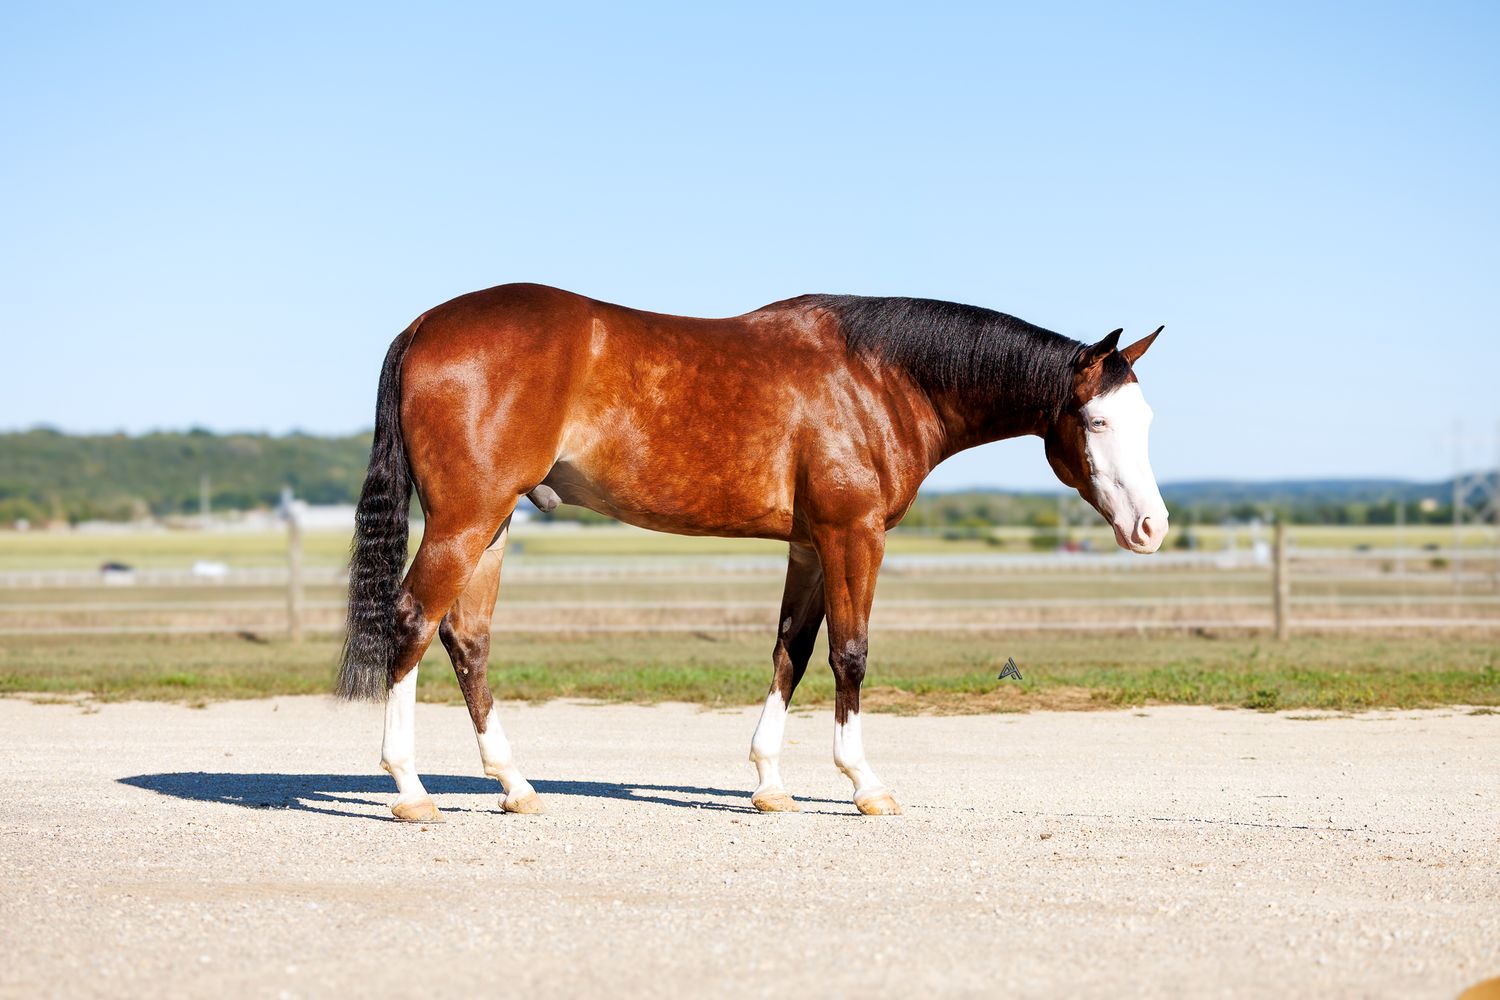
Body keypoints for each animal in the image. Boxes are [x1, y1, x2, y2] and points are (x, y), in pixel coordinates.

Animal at [336, 283, 1167, 821]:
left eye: (1147, 421)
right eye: (1095, 422)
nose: (1152, 528)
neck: (878, 377)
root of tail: (425, 325)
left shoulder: (809, 546)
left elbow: (789, 651)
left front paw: (769, 783)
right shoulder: (853, 534)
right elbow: (849, 653)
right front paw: (864, 783)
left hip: (494, 524)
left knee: (466, 638)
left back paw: (515, 786)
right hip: (465, 519)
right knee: (412, 621)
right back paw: (410, 791)